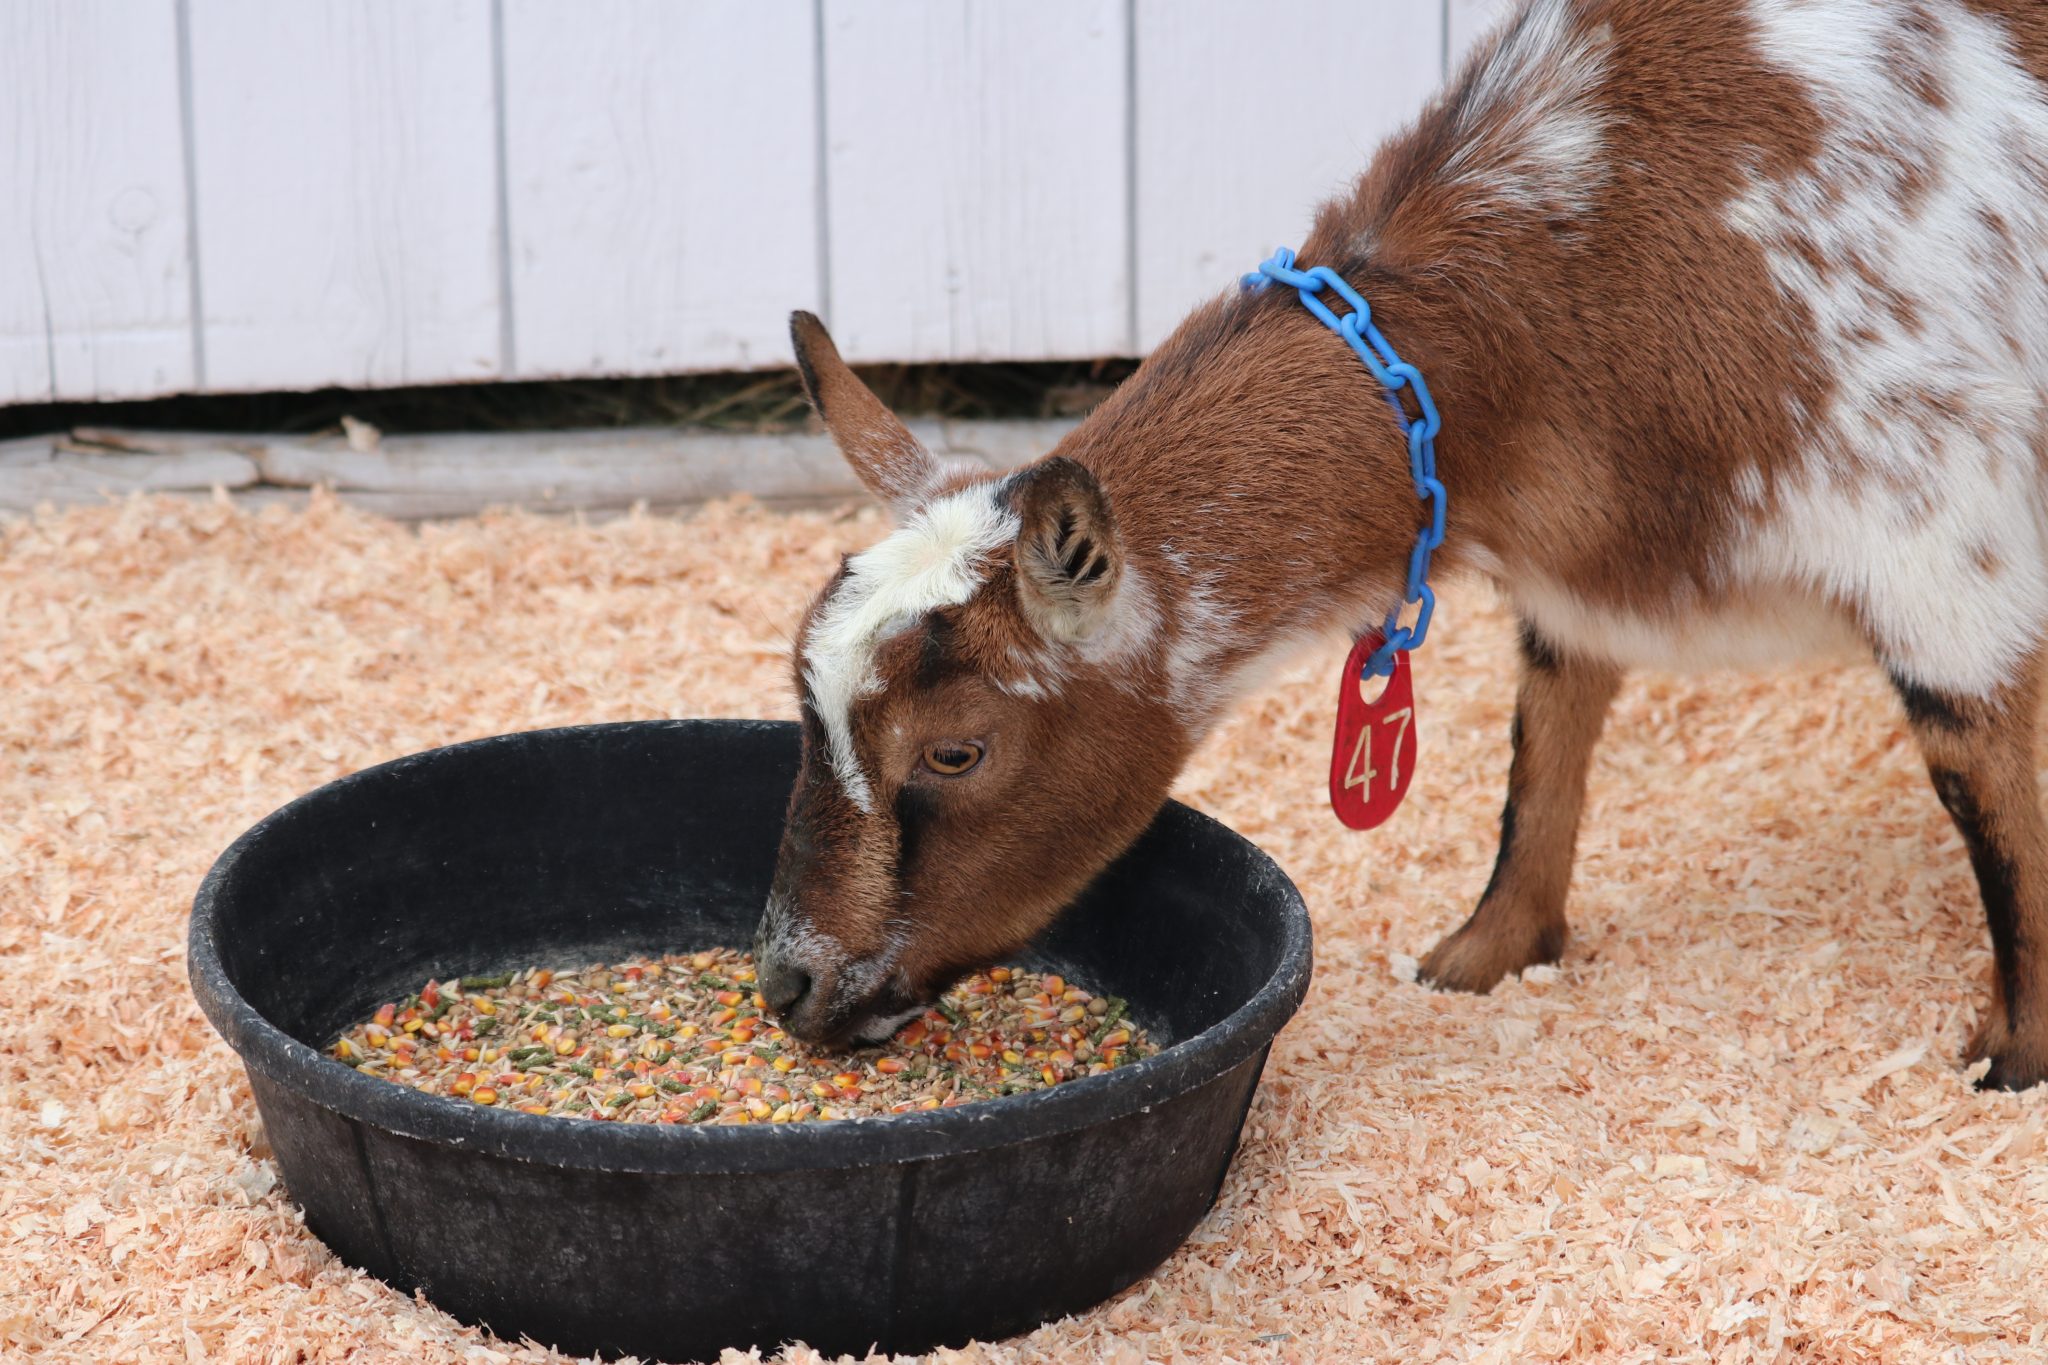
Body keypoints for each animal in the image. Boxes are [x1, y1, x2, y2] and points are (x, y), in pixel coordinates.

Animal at [752, 0, 2048, 1091]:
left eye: (956, 750)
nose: (788, 984)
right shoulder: (1571, 590)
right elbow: (1544, 741)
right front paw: (1483, 955)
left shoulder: (1944, 547)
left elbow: (1983, 791)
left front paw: (2016, 1057)